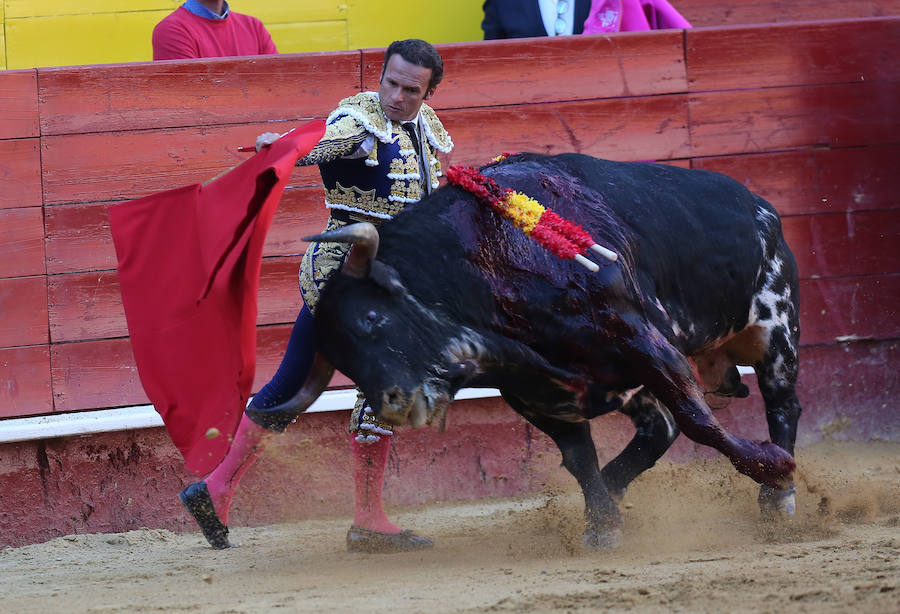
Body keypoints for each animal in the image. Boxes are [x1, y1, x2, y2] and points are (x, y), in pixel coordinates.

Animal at [246, 153, 800, 548]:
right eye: (342, 361)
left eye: (372, 319)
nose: (395, 405)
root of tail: (759, 203)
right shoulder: (535, 393)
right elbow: (579, 457)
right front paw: (602, 523)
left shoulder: (643, 340)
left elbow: (698, 420)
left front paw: (772, 468)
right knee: (657, 429)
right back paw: (619, 491)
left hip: (776, 330)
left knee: (781, 405)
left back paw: (780, 500)